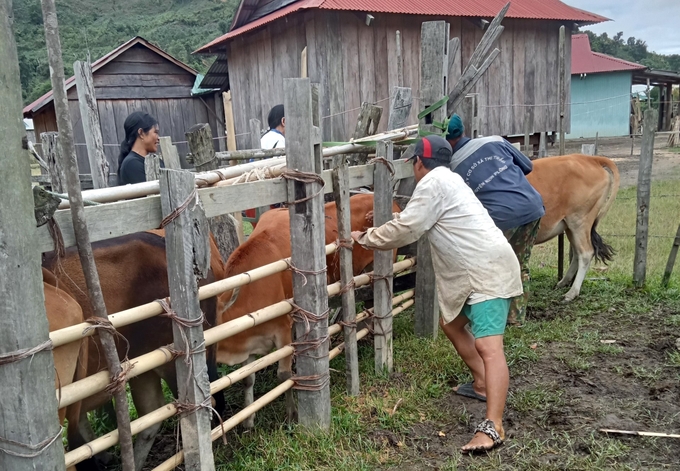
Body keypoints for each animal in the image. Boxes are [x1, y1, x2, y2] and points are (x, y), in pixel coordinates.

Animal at [528, 155, 620, 302]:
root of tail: (591, 159)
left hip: (579, 221)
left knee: (586, 252)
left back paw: (572, 293)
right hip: (570, 226)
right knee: (577, 252)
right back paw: (563, 282)